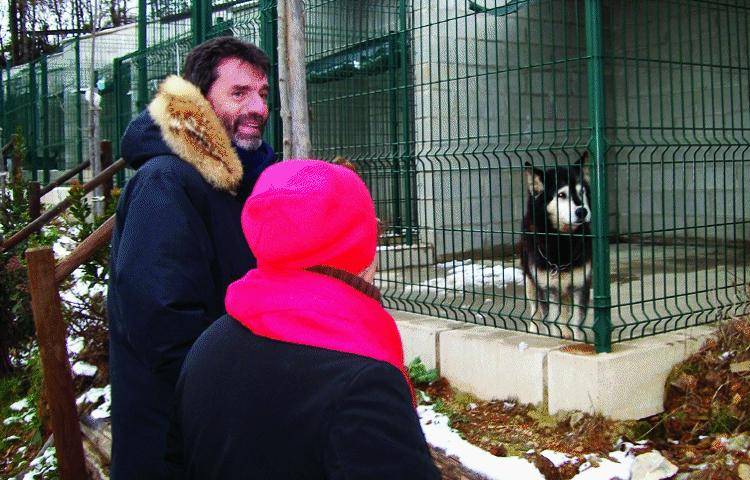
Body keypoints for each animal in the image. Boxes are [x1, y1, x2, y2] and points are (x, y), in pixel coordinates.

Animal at [524, 156, 592, 340]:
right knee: (534, 310)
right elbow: (552, 320)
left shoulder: (580, 285)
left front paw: (577, 339)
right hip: (530, 281)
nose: (582, 211)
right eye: (561, 195)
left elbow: (576, 319)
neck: (562, 241)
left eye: (582, 192)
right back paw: (534, 330)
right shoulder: (546, 287)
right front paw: (555, 336)